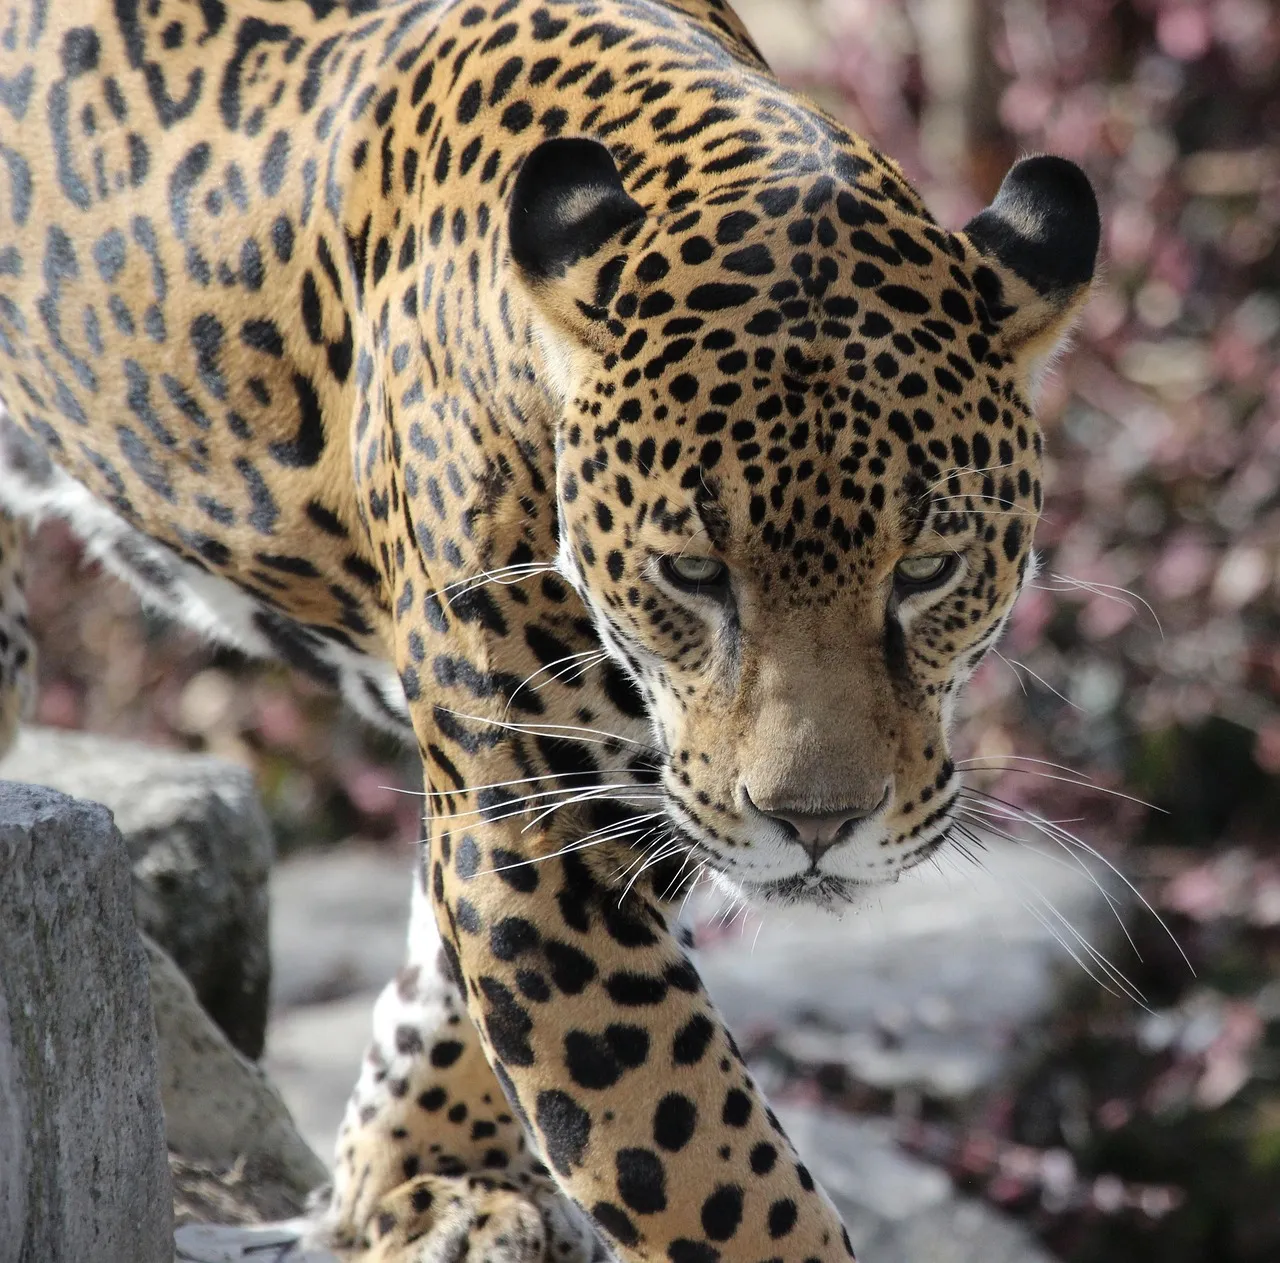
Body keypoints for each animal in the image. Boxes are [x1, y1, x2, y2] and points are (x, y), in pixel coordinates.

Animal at [0, 0, 1100, 1260]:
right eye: (692, 574)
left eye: (925, 571)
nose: (816, 827)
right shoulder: (538, 825)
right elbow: (717, 1176)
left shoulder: (611, 801)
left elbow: (447, 976)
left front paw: (432, 1173)